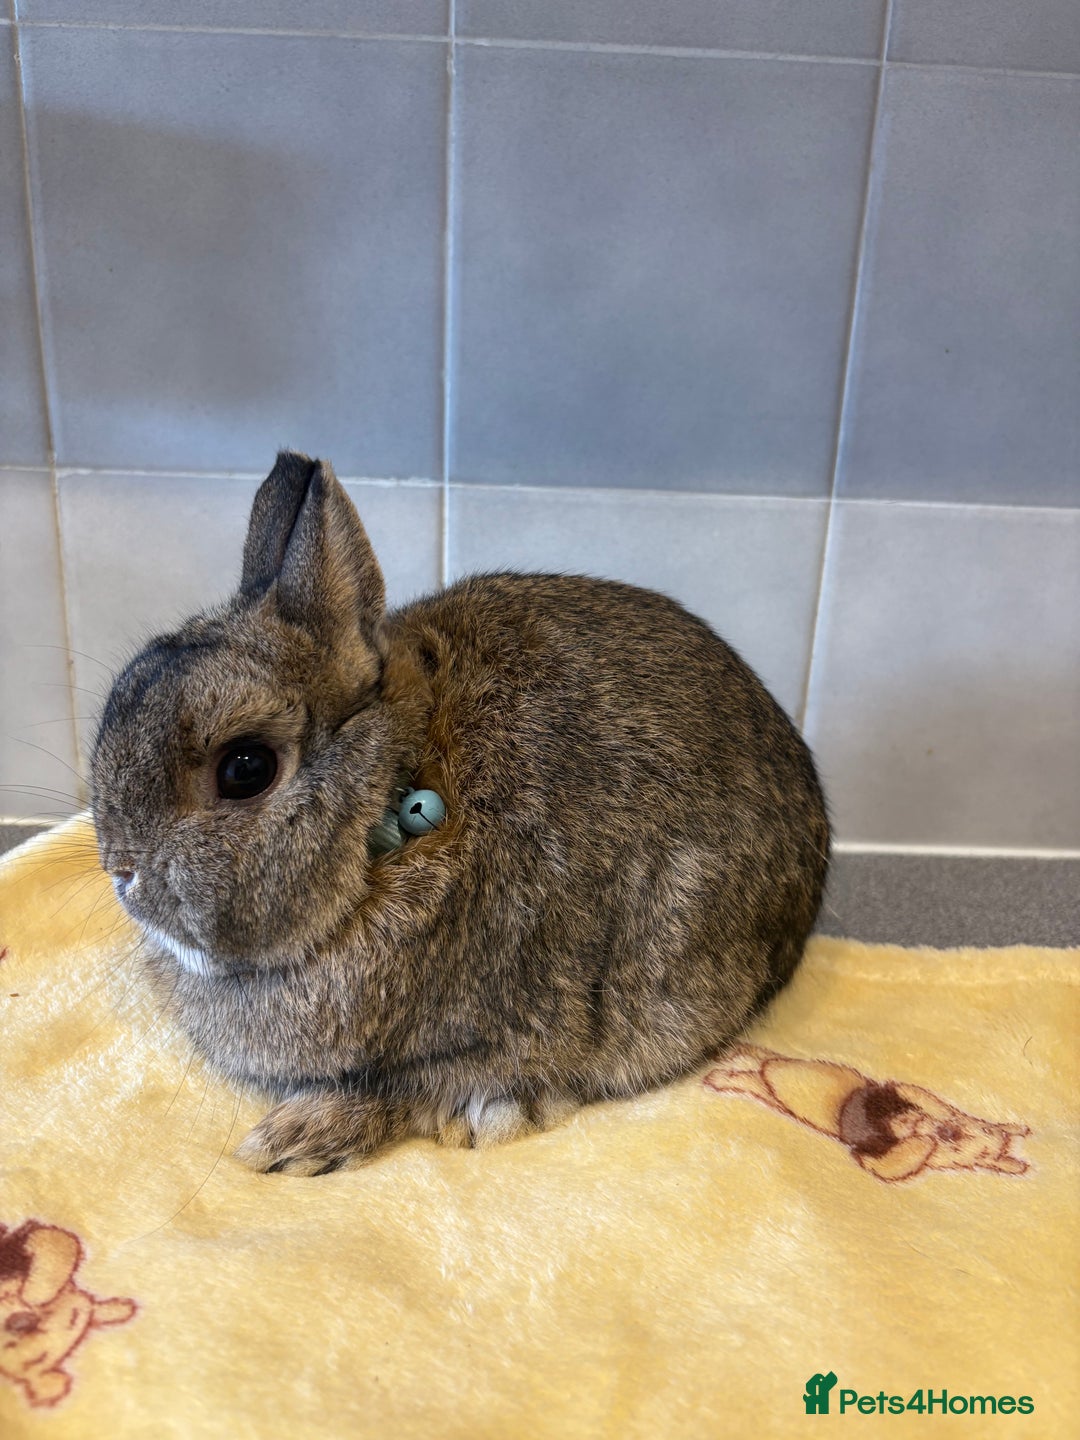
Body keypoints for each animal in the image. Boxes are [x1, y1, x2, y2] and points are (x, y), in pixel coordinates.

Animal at [90, 451, 830, 1175]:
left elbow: (409, 1089)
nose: (122, 874)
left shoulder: (506, 1032)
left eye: (246, 769)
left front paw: (294, 1139)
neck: (386, 822)